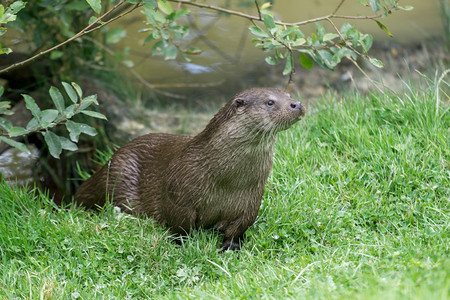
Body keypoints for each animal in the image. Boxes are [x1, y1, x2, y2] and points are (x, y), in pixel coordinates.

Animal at [74, 87, 306, 251]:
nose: (297, 104)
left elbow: (239, 227)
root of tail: (110, 161)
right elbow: (180, 226)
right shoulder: (179, 196)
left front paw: (230, 246)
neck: (227, 180)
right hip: (120, 175)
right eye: (270, 102)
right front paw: (183, 244)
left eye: (288, 94)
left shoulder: (251, 198)